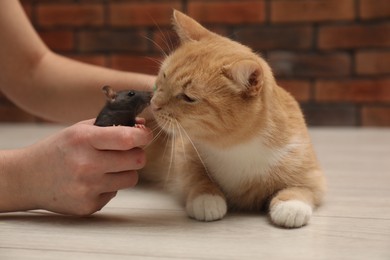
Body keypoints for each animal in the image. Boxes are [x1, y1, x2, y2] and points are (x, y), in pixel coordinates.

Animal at [140, 11, 326, 229]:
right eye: (162, 77)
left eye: (188, 97)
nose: (153, 104)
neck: (235, 147)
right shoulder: (183, 154)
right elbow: (196, 177)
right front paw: (207, 198)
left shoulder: (312, 174)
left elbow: (301, 188)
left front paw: (291, 206)